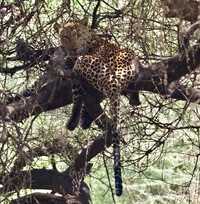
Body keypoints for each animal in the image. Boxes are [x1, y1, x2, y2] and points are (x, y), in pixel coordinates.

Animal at [57, 17, 139, 196]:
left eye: (78, 35)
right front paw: (85, 119)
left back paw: (73, 121)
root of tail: (114, 79)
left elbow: (79, 93)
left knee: (77, 88)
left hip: (85, 64)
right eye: (66, 37)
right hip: (130, 55)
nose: (73, 48)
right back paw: (135, 98)